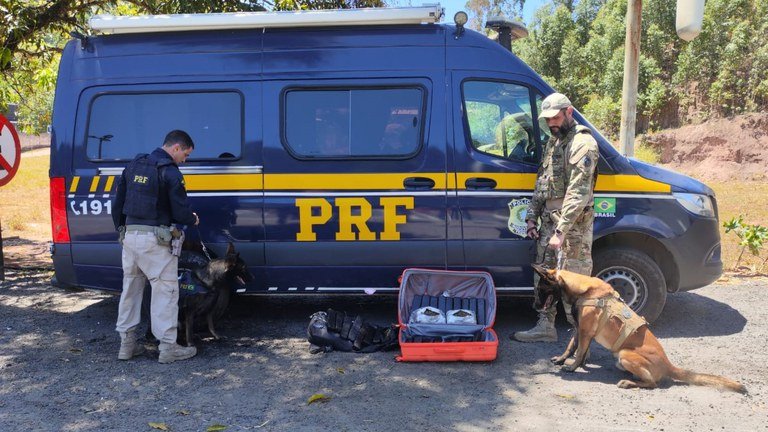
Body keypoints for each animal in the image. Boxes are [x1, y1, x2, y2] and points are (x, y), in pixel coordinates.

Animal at [532, 264, 748, 392]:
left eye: (541, 289)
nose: (535, 307)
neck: (584, 289)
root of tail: (668, 364)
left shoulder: (585, 331)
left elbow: (578, 352)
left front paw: (572, 367)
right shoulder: (579, 329)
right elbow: (571, 346)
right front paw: (562, 359)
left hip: (625, 354)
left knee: (653, 383)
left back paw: (629, 383)